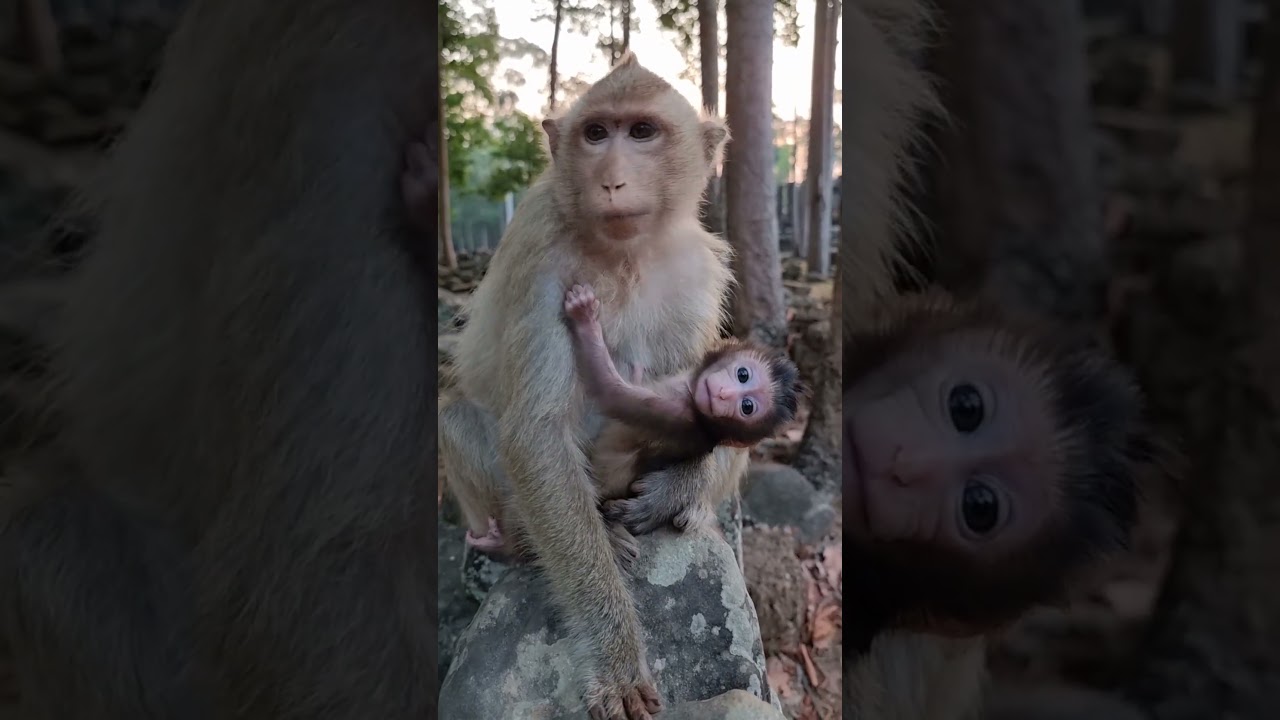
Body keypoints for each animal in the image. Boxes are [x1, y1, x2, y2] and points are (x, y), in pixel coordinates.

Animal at [437, 53, 747, 719]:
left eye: (642, 132)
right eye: (597, 134)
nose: (611, 180)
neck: (625, 251)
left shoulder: (698, 270)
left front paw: (676, 488)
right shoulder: (540, 251)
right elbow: (535, 434)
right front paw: (615, 658)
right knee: (457, 419)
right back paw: (531, 537)